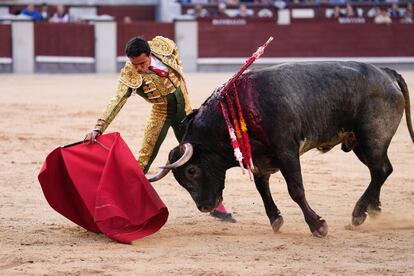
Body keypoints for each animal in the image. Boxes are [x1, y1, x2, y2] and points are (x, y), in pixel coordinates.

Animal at [150, 62, 414, 237]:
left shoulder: (287, 151)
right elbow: (262, 189)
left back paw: (359, 213)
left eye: (192, 171)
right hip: (360, 142)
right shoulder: (259, 159)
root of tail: (387, 72)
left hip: (372, 137)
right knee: (379, 170)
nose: (205, 206)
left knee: (381, 170)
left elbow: (295, 189)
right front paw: (276, 219)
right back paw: (373, 209)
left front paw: (318, 225)